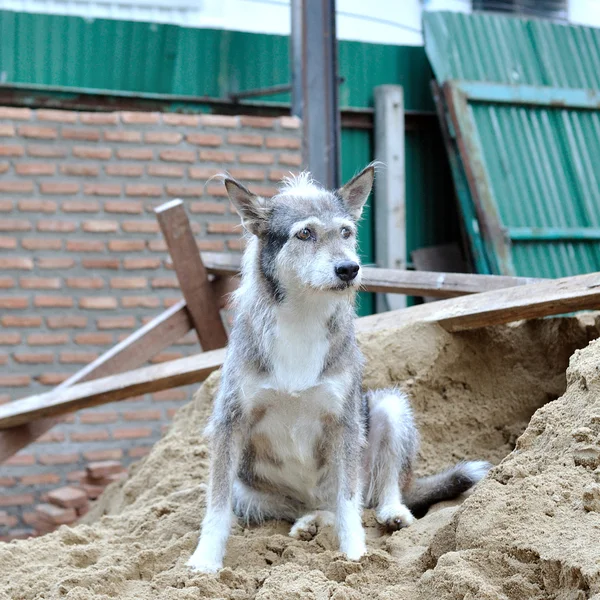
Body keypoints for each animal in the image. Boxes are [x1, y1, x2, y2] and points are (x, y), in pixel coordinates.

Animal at [188, 164, 492, 572]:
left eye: (346, 232)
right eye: (305, 233)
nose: (349, 269)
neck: (304, 315)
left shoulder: (344, 422)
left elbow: (348, 504)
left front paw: (355, 556)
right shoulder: (229, 422)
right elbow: (216, 507)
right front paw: (205, 562)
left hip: (388, 407)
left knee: (373, 492)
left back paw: (389, 512)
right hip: (247, 487)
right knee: (301, 508)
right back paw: (307, 523)